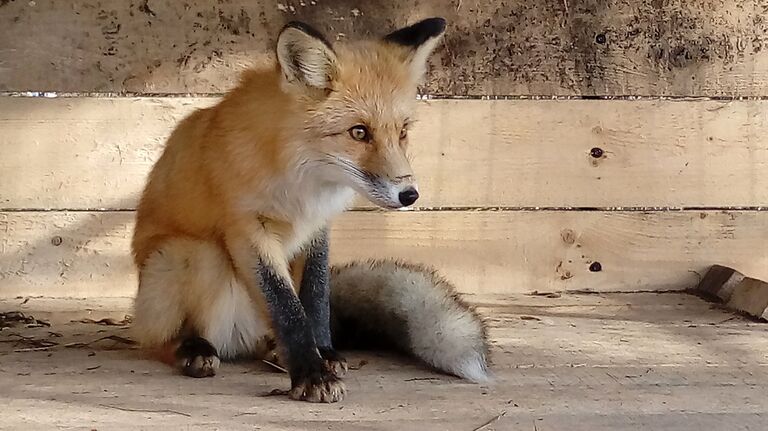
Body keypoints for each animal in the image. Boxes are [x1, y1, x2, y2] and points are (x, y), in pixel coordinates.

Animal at [129, 16, 488, 402]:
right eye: (359, 132)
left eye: (403, 132)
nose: (409, 195)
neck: (302, 183)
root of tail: (238, 338)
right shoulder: (247, 229)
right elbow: (286, 307)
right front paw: (311, 374)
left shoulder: (318, 227)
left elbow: (315, 298)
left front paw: (324, 353)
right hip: (190, 253)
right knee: (157, 338)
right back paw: (192, 349)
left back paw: (275, 352)